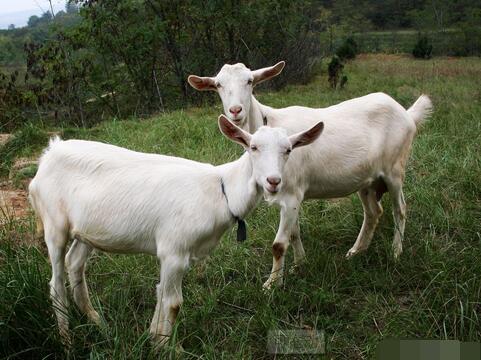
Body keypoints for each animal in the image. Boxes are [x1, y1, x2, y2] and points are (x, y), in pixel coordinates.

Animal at [29, 115, 322, 346]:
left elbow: (161, 295)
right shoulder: (174, 250)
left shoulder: (177, 254)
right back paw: (67, 341)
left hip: (86, 231)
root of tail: (49, 154)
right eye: (253, 147)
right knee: (56, 284)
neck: (222, 189)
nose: (273, 181)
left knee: (75, 264)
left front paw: (153, 337)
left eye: (288, 150)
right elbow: (173, 302)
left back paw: (98, 323)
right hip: (54, 224)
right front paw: (166, 347)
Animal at [188, 60, 432, 288]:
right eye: (218, 85)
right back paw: (356, 251)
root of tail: (407, 114)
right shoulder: (290, 197)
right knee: (373, 212)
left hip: (395, 169)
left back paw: (395, 252)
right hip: (367, 180)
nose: (235, 111)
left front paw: (272, 284)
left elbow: (279, 244)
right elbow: (294, 233)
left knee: (400, 208)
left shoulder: (292, 193)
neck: (270, 122)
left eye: (250, 81)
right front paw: (299, 265)